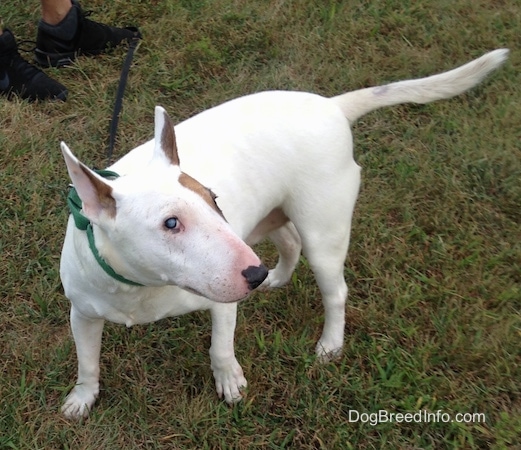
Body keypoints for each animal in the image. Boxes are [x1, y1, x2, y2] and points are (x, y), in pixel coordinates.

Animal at [59, 49, 506, 418]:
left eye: (213, 198)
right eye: (171, 223)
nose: (253, 276)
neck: (139, 287)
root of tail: (332, 106)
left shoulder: (222, 301)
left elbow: (221, 346)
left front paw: (230, 382)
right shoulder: (82, 313)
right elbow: (87, 361)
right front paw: (81, 400)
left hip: (323, 229)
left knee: (334, 289)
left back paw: (328, 344)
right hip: (270, 216)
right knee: (290, 242)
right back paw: (277, 278)